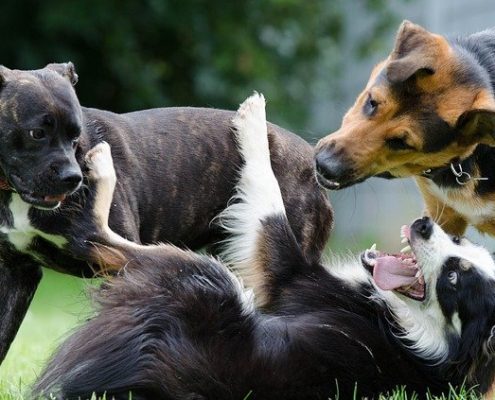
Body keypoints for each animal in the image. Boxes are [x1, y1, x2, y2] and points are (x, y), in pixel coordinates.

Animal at [33, 94, 495, 400]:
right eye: (459, 241)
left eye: (454, 278)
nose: (424, 224)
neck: (413, 334)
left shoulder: (289, 275)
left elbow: (268, 200)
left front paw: (254, 120)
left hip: (205, 275)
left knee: (98, 236)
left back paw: (101, 166)